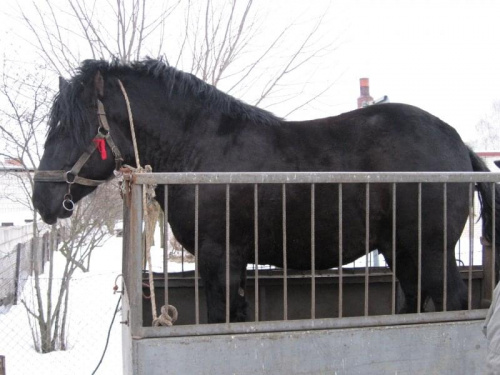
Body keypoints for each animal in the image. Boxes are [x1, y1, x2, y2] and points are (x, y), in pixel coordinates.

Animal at [33, 58, 498, 324]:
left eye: (70, 126)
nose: (42, 199)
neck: (199, 148)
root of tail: (459, 144)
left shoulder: (220, 260)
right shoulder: (232, 264)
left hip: (430, 251)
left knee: (453, 302)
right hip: (401, 250)